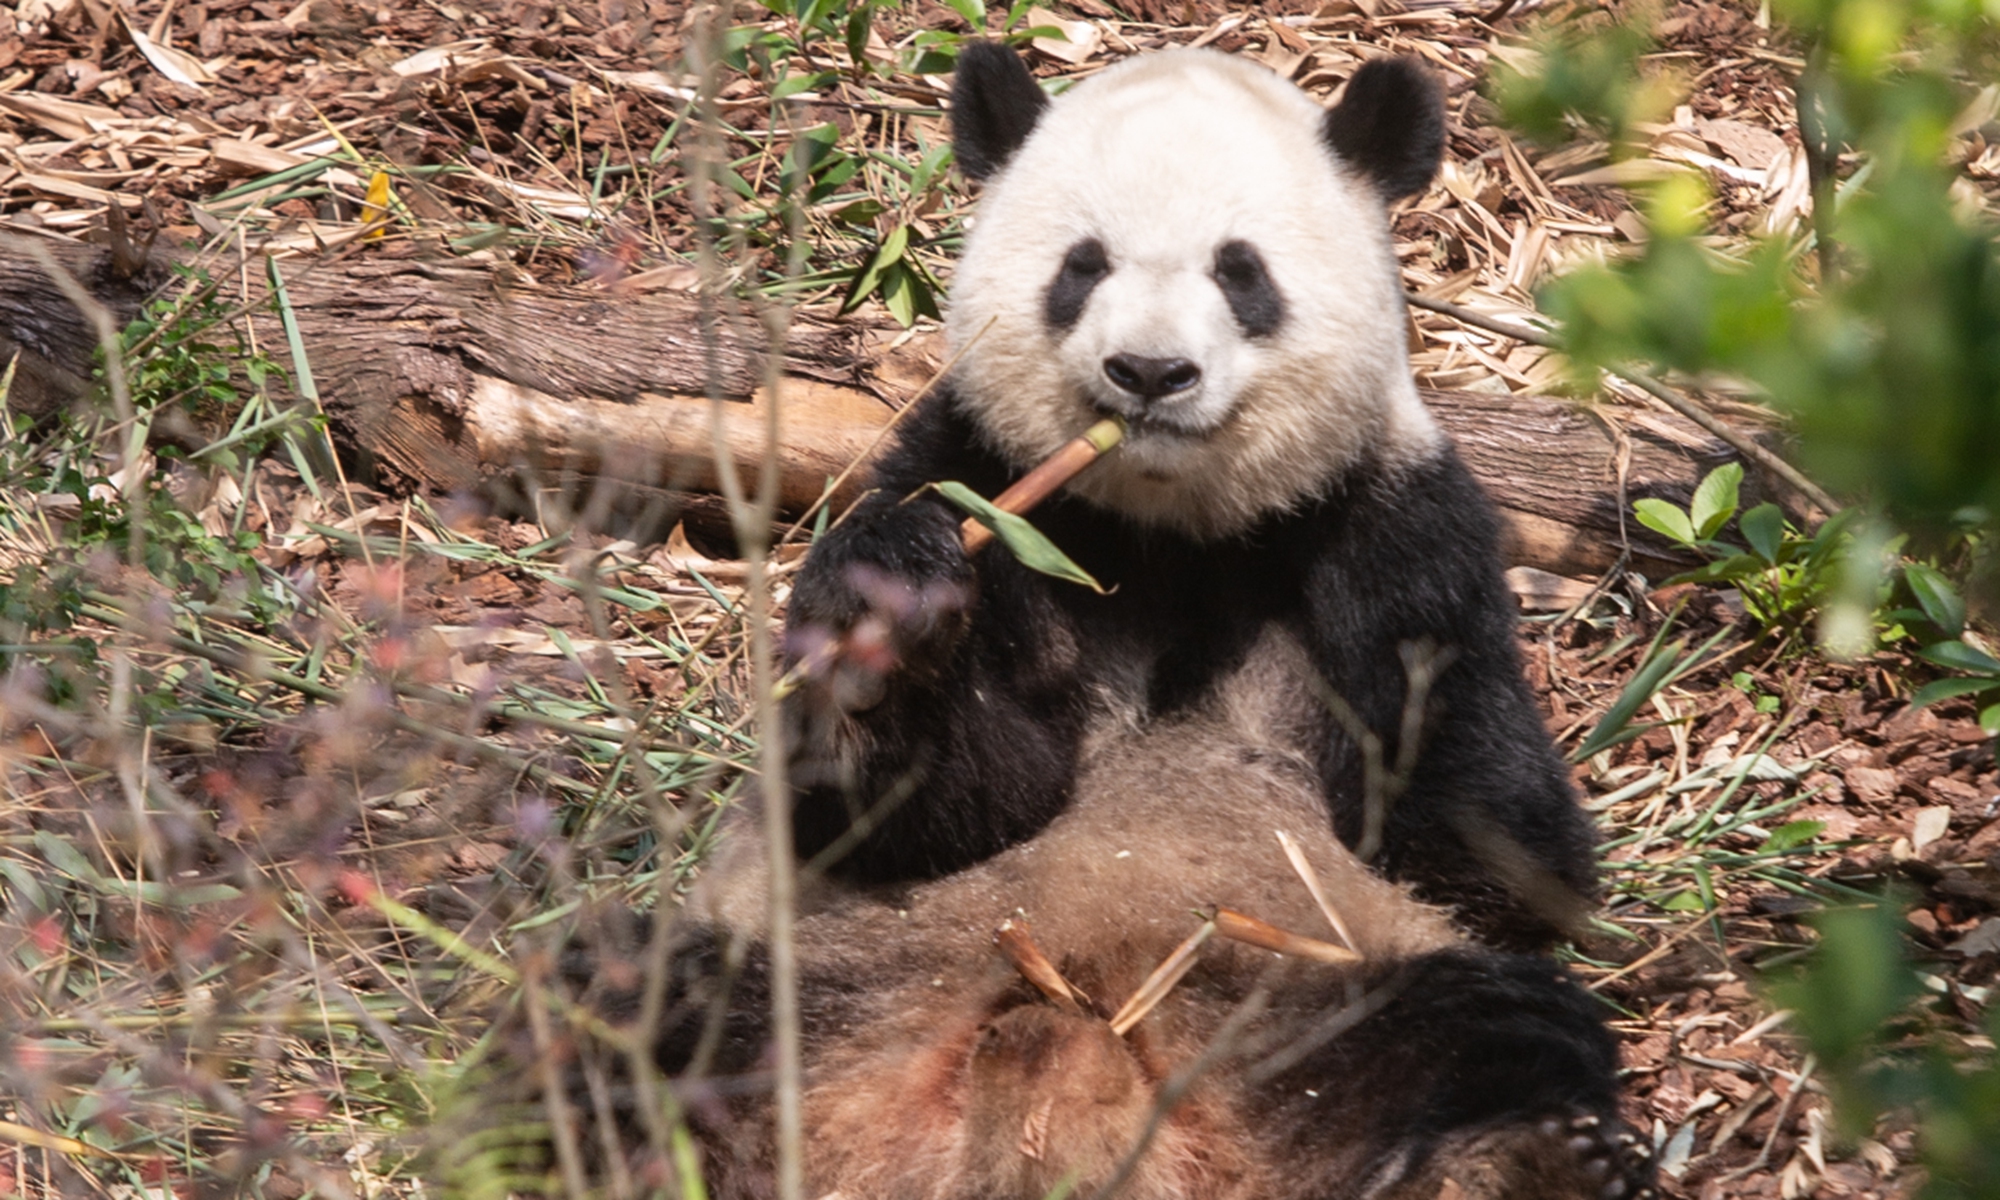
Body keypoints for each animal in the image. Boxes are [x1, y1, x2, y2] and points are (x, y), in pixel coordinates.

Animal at [784, 42, 1599, 949]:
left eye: (1241, 273)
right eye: (1083, 266)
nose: (1149, 371)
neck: (1176, 525)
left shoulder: (1395, 525)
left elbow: (1491, 845)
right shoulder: (983, 470)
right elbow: (947, 807)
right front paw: (880, 621)